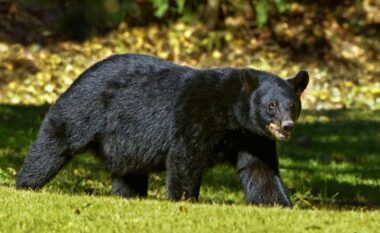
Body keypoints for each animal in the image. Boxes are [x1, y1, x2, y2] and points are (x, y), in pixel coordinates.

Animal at [17, 53, 308, 208]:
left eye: (292, 106)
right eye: (271, 105)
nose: (287, 126)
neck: (232, 116)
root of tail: (80, 75)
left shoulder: (253, 137)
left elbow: (260, 170)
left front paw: (280, 205)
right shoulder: (197, 116)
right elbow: (186, 158)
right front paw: (185, 201)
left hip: (124, 145)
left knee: (129, 173)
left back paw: (131, 196)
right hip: (84, 109)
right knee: (55, 142)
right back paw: (25, 184)